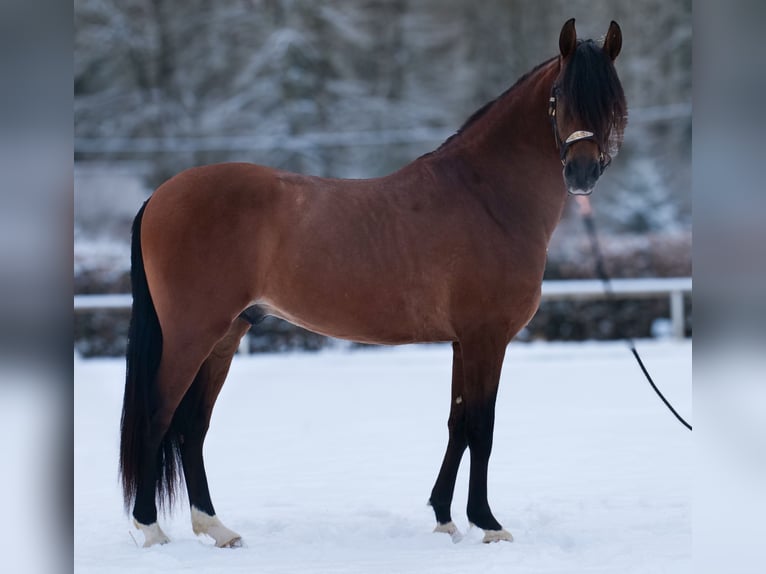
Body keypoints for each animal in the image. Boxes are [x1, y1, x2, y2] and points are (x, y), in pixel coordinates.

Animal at [119, 18, 627, 548]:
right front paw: (487, 523)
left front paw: (445, 518)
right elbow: (481, 428)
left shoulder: (462, 342)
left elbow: (457, 424)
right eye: (560, 95)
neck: (485, 197)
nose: (583, 173)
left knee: (193, 425)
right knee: (158, 416)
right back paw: (151, 530)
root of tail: (160, 196)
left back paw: (216, 528)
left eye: (612, 98)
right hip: (192, 335)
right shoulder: (486, 339)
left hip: (227, 334)